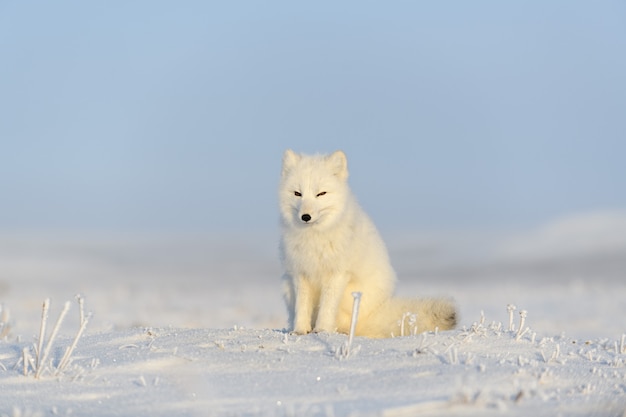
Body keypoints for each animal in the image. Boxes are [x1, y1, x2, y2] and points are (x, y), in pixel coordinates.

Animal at [278, 150, 454, 338]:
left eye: (321, 194)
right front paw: (300, 330)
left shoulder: (337, 274)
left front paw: (322, 330)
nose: (305, 216)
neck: (315, 238)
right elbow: (302, 306)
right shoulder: (300, 272)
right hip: (287, 286)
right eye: (297, 193)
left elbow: (327, 307)